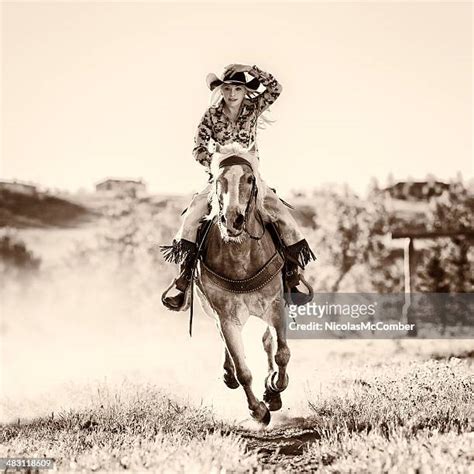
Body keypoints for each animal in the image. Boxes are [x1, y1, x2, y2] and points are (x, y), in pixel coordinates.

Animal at [193, 144, 290, 426]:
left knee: (268, 342)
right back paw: (229, 376)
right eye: (219, 180)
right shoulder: (227, 317)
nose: (232, 219)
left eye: (249, 179)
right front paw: (258, 411)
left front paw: (274, 388)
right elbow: (242, 369)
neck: (241, 255)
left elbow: (281, 353)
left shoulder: (276, 306)